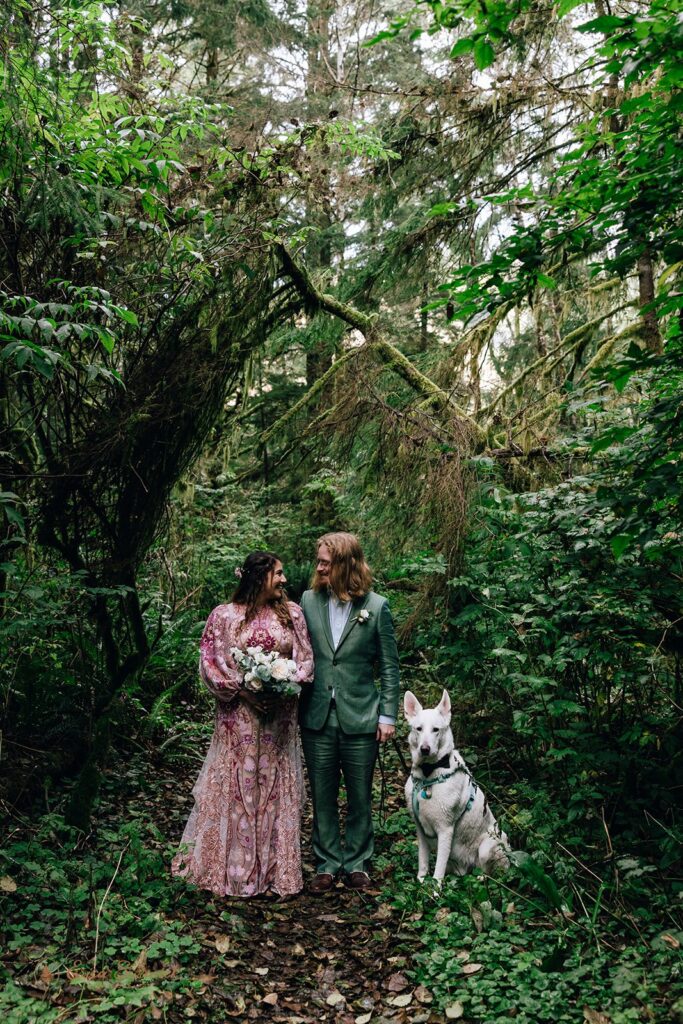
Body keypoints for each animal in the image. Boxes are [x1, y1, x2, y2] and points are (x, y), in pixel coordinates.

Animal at [403, 688, 509, 880]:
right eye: (419, 729)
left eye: (436, 730)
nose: (424, 749)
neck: (429, 774)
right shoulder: (420, 830)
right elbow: (423, 864)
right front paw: (420, 883)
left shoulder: (445, 830)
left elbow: (438, 871)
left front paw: (434, 888)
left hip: (488, 845)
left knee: (493, 874)